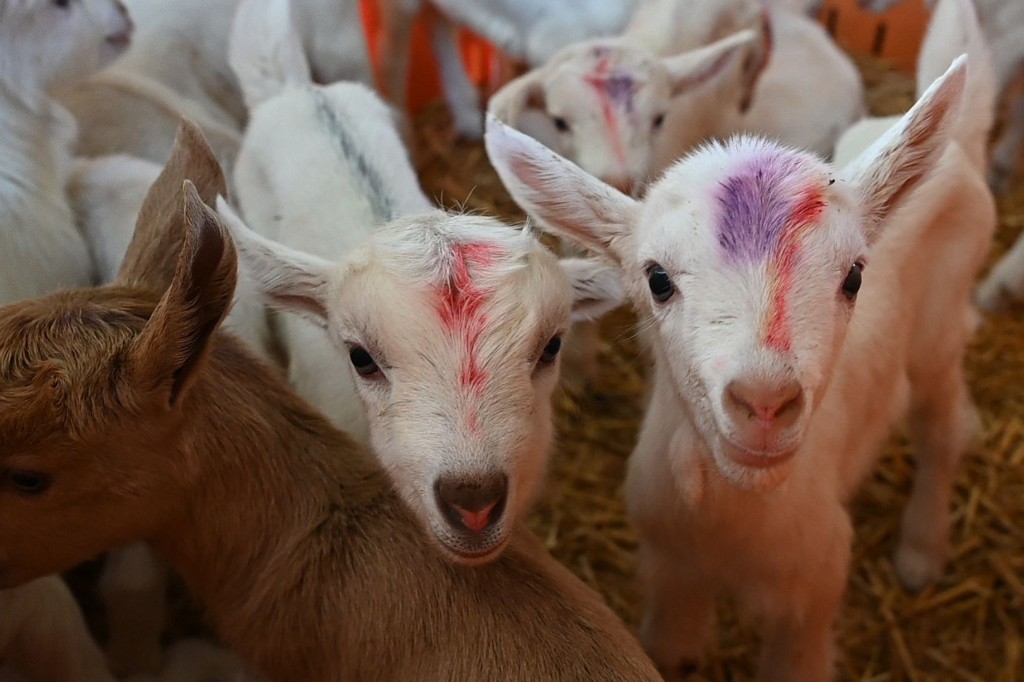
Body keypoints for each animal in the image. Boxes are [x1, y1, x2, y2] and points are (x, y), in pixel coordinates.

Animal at [486, 48, 987, 680]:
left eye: (854, 276)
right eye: (656, 279)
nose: (765, 403)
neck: (729, 524)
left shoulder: (815, 587)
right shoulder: (669, 569)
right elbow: (672, 650)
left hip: (938, 331)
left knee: (945, 427)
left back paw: (922, 550)